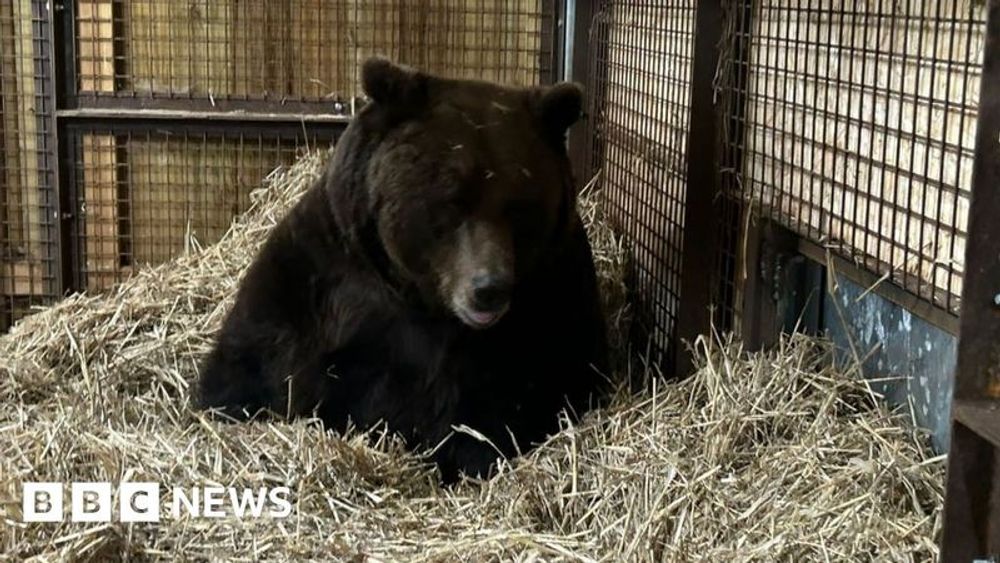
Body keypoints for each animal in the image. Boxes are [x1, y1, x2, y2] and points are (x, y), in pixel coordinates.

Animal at [190, 55, 604, 482]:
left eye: (520, 206)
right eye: (453, 200)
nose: (489, 288)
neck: (422, 300)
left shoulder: (554, 301)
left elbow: (520, 400)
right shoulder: (320, 274)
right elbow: (251, 367)